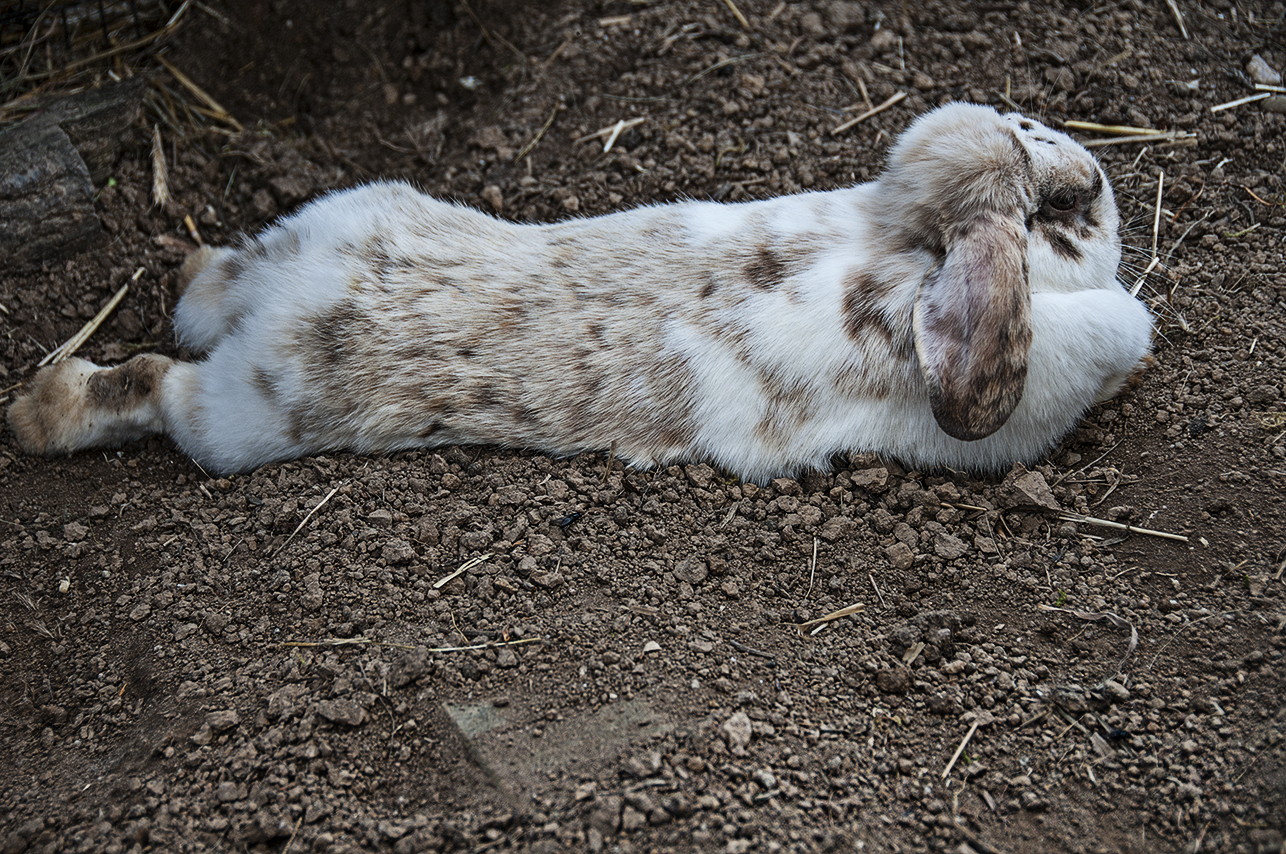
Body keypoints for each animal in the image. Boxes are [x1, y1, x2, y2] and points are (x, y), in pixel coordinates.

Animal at [7, 101, 1157, 481]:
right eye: (1061, 201)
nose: (1101, 180)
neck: (901, 241)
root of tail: (286, 301)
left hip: (320, 228)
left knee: (206, 291)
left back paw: (186, 276)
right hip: (239, 420)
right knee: (155, 385)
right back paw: (38, 412)